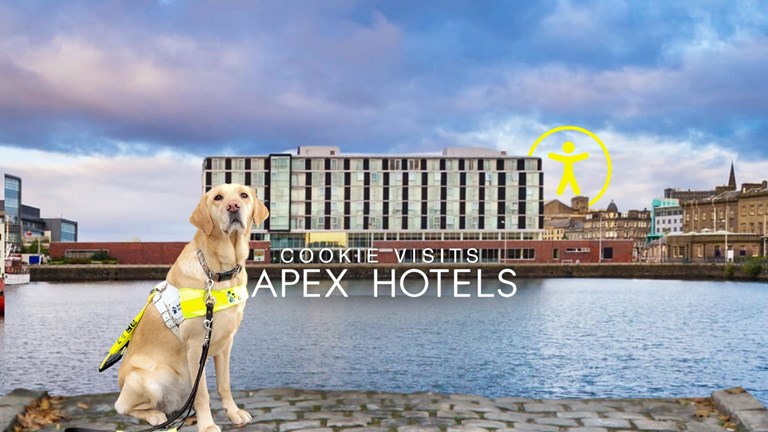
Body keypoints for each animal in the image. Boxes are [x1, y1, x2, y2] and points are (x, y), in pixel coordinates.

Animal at [114, 183, 270, 432]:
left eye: (244, 195)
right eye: (218, 197)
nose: (233, 206)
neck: (218, 272)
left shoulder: (226, 343)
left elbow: (224, 384)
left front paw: (233, 413)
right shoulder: (197, 346)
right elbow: (203, 393)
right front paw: (208, 425)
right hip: (150, 379)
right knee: (124, 407)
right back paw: (156, 416)